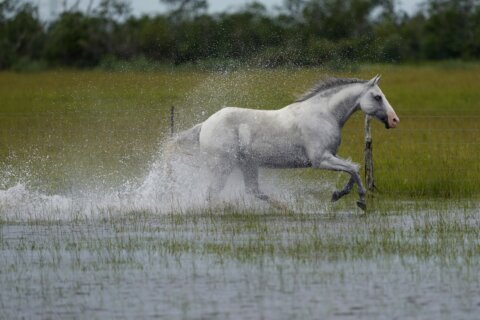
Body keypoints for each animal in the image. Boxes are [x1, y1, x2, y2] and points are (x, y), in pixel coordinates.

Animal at [172, 75, 398, 210]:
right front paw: (360, 200)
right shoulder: (321, 160)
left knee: (253, 191)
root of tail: (205, 125)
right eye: (377, 97)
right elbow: (354, 168)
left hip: (248, 164)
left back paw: (285, 207)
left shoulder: (330, 157)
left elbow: (352, 169)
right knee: (212, 193)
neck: (324, 114)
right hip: (223, 166)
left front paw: (338, 195)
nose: (394, 120)